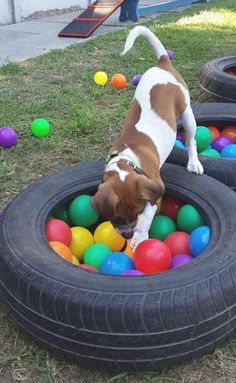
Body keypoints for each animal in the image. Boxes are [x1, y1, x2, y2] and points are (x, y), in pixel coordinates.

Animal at [91, 25, 204, 250]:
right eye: (115, 218)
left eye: (136, 212)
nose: (127, 235)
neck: (127, 159)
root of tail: (163, 63)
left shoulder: (152, 188)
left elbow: (146, 219)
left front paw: (140, 238)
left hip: (187, 113)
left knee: (191, 140)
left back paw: (194, 163)